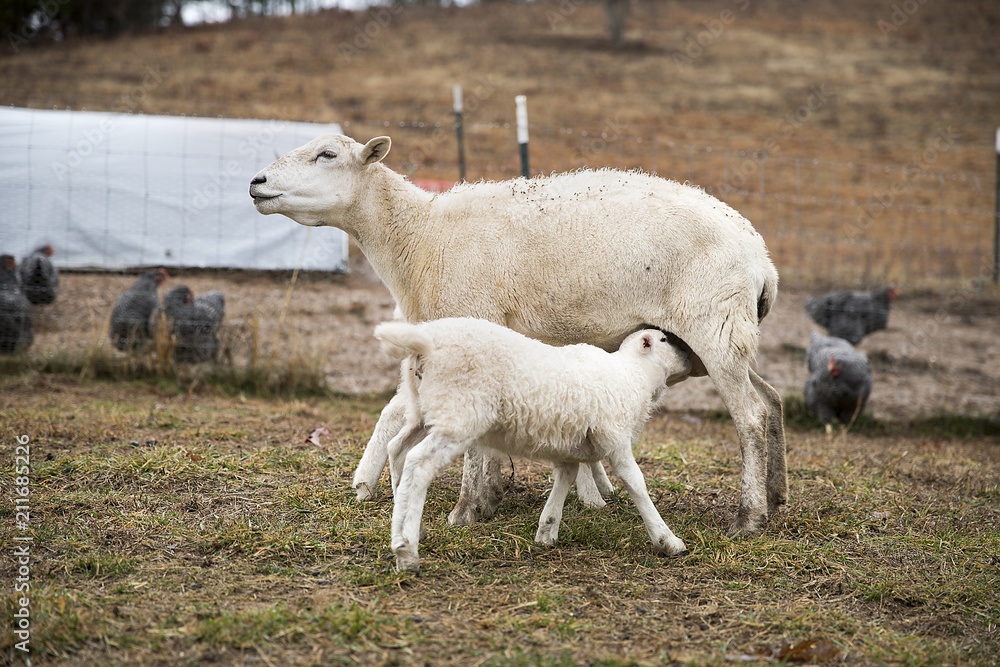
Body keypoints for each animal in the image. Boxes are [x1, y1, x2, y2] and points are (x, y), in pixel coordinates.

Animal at [249, 134, 786, 537]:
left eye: (327, 155)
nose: (256, 182)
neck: (418, 238)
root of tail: (762, 257)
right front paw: (489, 499)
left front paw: (466, 509)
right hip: (725, 335)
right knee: (772, 399)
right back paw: (778, 494)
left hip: (714, 327)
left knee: (750, 416)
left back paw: (750, 516)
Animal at [375, 317, 692, 572]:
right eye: (664, 340)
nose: (690, 357)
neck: (633, 374)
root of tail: (424, 343)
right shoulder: (614, 437)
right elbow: (636, 483)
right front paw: (667, 540)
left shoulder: (571, 446)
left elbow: (565, 477)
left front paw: (546, 531)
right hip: (459, 413)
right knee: (419, 462)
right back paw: (406, 551)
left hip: (423, 409)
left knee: (397, 450)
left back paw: (409, 527)